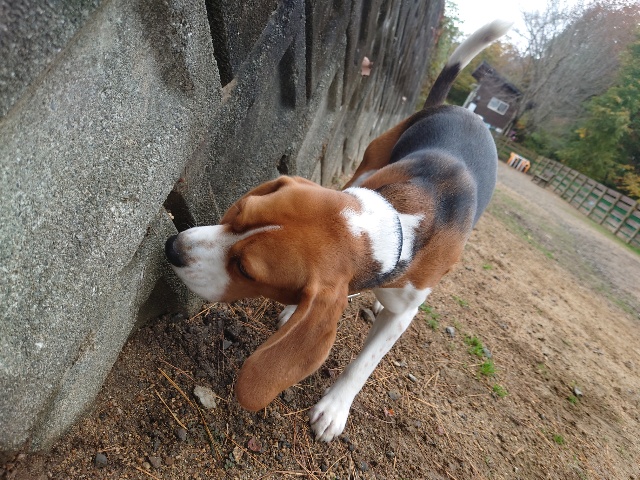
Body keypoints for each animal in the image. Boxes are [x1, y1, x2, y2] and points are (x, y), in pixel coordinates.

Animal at [165, 19, 512, 442]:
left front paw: (334, 408)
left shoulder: (405, 313)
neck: (395, 226)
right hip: (370, 159)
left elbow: (365, 363)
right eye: (237, 212)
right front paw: (296, 309)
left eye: (246, 269)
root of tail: (459, 109)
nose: (171, 247)